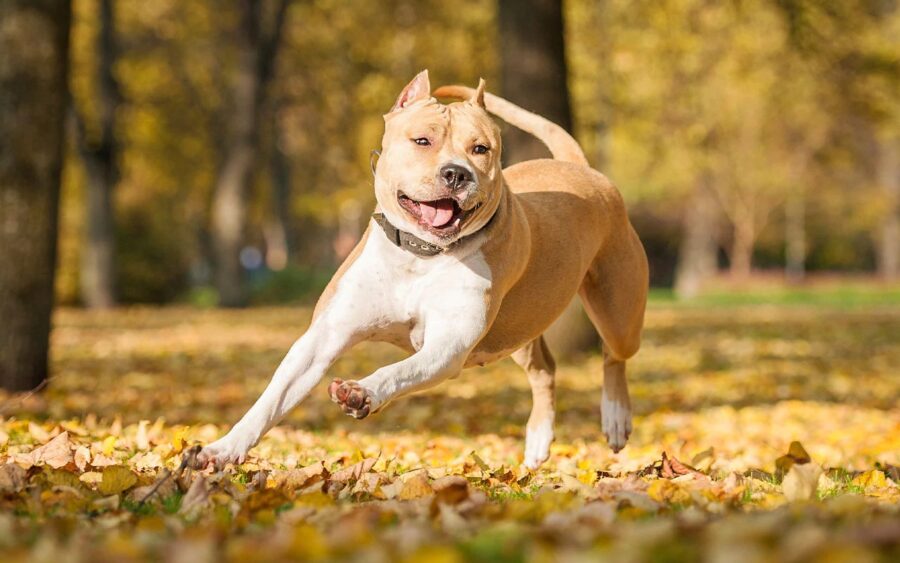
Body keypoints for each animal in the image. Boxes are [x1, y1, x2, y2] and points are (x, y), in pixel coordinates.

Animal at [197, 71, 648, 472]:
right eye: (422, 141)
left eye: (480, 148)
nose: (456, 173)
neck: (421, 255)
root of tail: (581, 168)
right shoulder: (324, 337)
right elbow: (271, 399)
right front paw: (223, 449)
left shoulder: (447, 345)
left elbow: (398, 371)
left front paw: (362, 392)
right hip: (518, 326)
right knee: (544, 368)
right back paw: (538, 440)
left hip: (618, 312)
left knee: (613, 356)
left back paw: (615, 417)